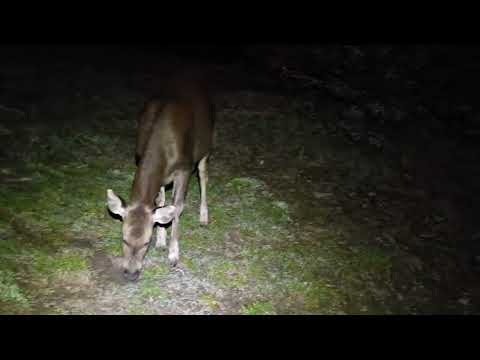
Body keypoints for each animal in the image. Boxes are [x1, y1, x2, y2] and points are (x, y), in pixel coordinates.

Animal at [108, 77, 217, 282]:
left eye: (145, 242)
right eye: (124, 239)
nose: (131, 274)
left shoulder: (184, 168)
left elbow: (177, 207)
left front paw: (173, 254)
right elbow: (160, 202)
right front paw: (161, 240)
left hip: (206, 147)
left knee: (204, 176)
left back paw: (204, 217)